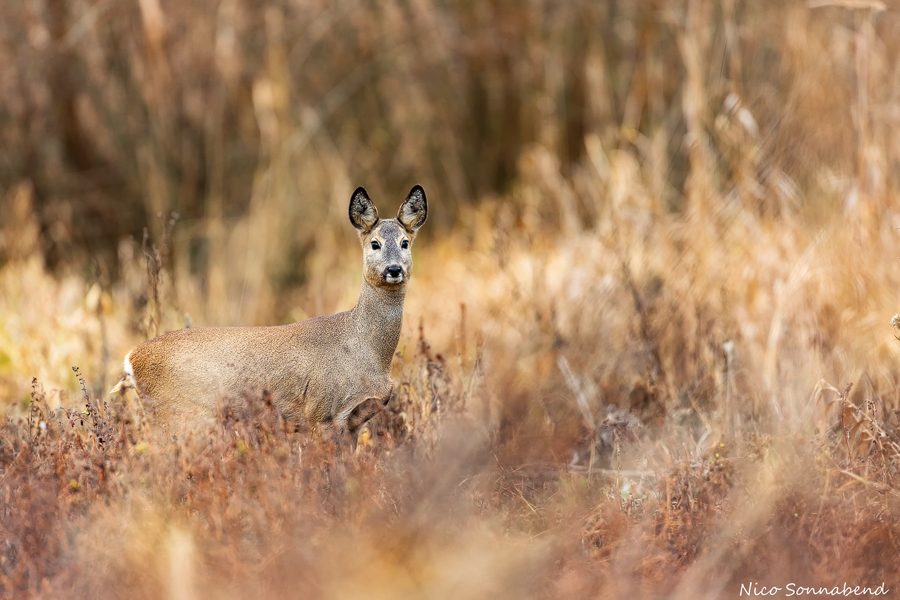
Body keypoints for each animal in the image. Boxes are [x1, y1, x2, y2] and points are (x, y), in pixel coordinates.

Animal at [112, 185, 428, 448]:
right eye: (375, 243)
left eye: (405, 243)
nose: (394, 269)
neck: (367, 349)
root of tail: (131, 359)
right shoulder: (322, 413)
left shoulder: (354, 423)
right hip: (178, 415)